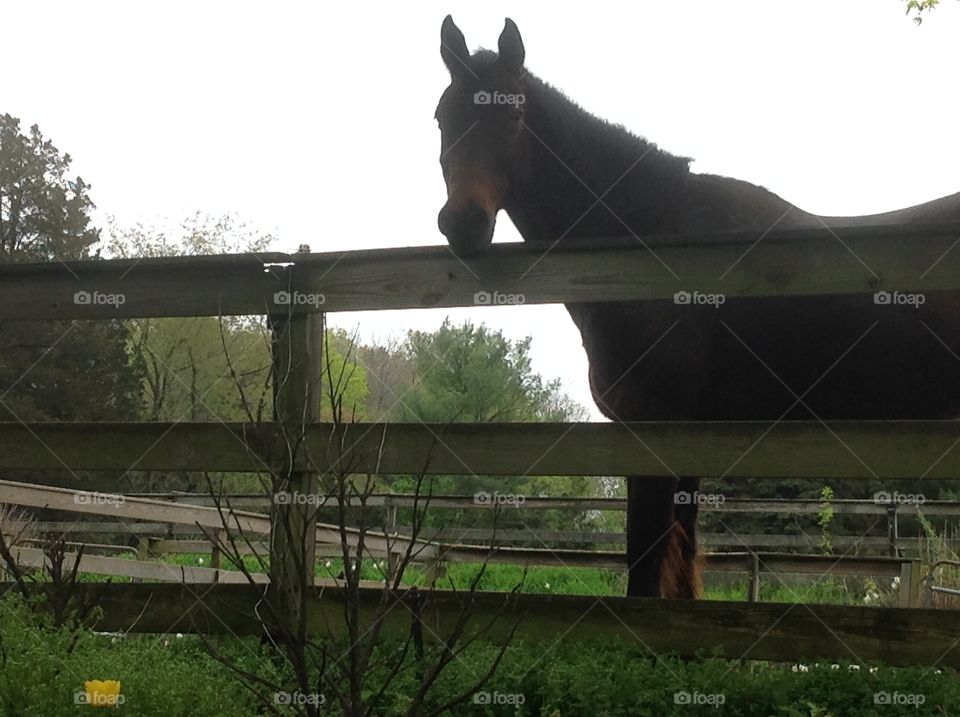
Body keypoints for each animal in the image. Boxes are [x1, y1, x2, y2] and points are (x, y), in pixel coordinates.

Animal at [434, 16, 960, 600]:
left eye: (515, 115)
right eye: (442, 117)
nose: (463, 223)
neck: (653, 244)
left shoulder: (653, 433)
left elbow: (645, 569)